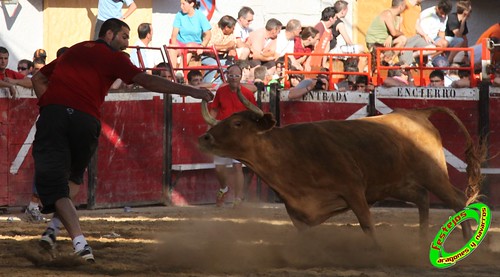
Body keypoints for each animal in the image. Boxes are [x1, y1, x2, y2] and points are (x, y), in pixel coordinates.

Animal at [197, 93, 482, 244]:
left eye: (237, 123)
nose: (205, 138)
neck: (290, 154)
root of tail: (419, 114)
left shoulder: (353, 190)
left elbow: (367, 225)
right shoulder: (298, 211)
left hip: (433, 174)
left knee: (457, 199)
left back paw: (466, 241)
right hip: (396, 184)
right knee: (423, 198)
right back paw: (422, 243)